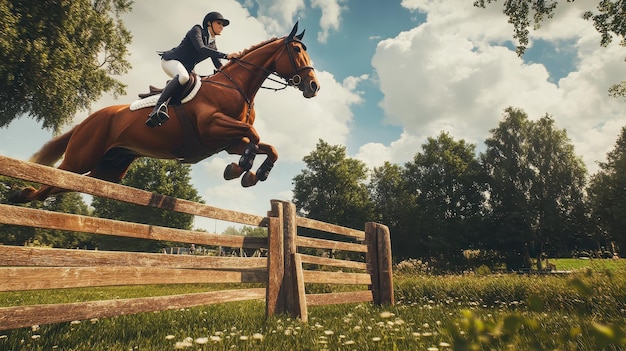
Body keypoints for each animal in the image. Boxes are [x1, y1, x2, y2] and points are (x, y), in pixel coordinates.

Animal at [8, 22, 322, 204]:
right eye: (297, 50)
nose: (314, 87)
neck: (236, 86)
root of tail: (91, 118)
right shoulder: (213, 127)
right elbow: (254, 135)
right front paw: (241, 168)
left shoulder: (227, 141)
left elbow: (268, 147)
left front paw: (251, 174)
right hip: (80, 157)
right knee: (54, 178)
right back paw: (19, 194)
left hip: (108, 169)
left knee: (60, 187)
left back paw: (22, 195)